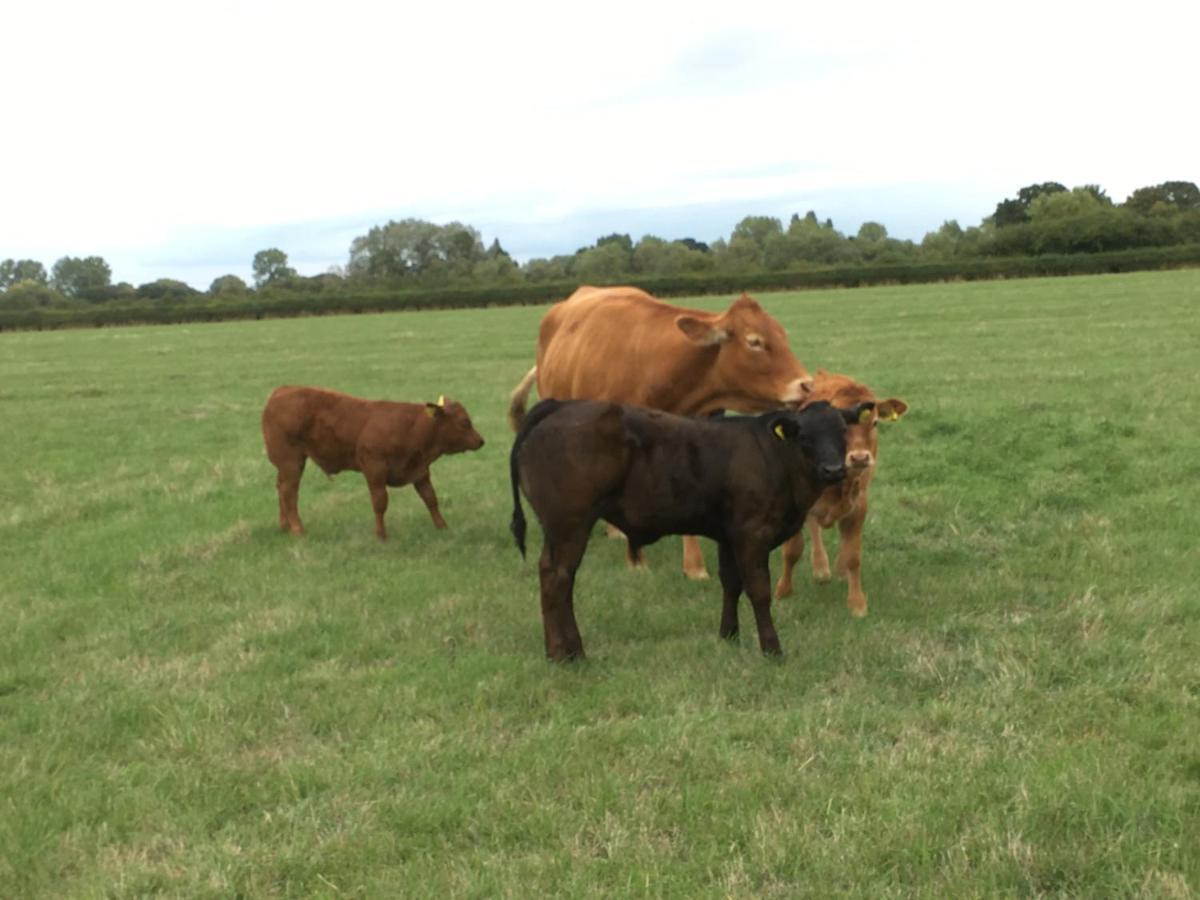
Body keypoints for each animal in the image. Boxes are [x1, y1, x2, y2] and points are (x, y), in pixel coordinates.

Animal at [261, 384, 482, 540]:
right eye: (464, 422)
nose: (481, 441)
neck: (410, 427)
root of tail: (281, 391)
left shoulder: (420, 471)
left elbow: (431, 499)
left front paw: (442, 527)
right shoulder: (375, 469)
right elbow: (380, 502)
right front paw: (380, 535)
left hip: (288, 464)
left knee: (281, 488)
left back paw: (284, 526)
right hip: (291, 460)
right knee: (289, 492)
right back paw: (297, 529)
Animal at [768, 369, 907, 619]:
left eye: (875, 423)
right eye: (842, 428)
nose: (860, 457)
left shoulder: (858, 506)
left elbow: (853, 556)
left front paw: (857, 604)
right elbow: (793, 550)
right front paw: (783, 591)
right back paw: (821, 567)